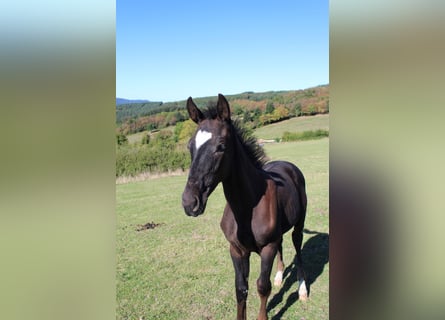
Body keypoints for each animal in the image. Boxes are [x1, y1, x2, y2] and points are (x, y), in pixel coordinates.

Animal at [180, 94, 306, 318]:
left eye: (221, 146)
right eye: (189, 146)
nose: (189, 202)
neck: (246, 207)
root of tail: (290, 166)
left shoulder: (267, 247)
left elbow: (262, 286)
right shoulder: (236, 250)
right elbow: (241, 289)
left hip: (299, 224)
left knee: (297, 247)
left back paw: (302, 289)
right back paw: (279, 276)